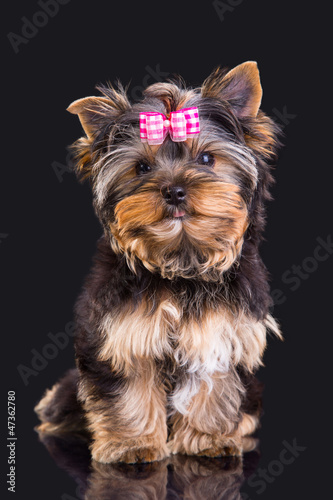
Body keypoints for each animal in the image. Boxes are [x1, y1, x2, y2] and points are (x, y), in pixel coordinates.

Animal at [35, 60, 280, 462]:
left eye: (207, 158)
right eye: (142, 168)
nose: (174, 190)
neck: (180, 263)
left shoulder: (222, 330)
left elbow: (214, 385)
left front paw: (208, 440)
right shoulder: (121, 333)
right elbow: (129, 387)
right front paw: (131, 445)